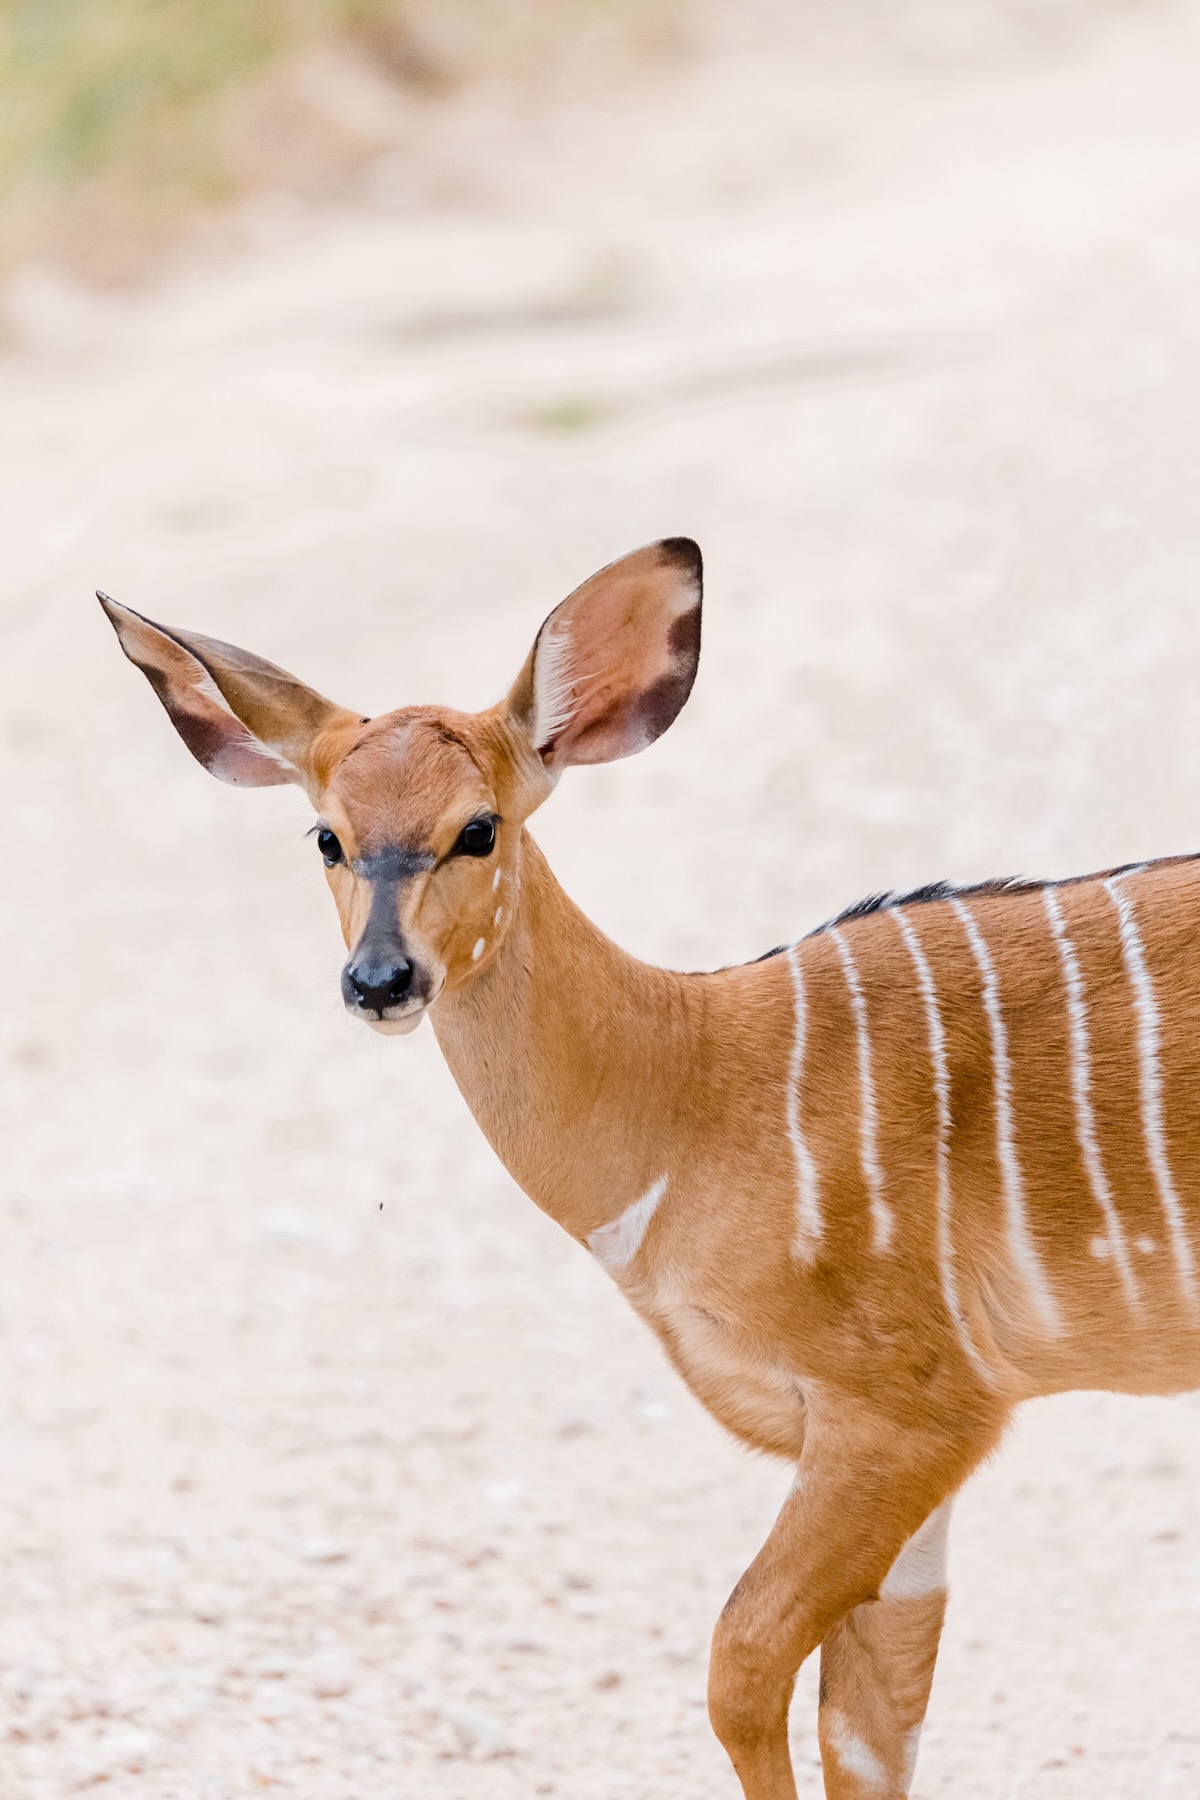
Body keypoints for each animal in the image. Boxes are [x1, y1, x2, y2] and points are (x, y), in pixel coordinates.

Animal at [100, 536, 1200, 1800]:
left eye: (479, 828)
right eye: (326, 836)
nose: (380, 981)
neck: (696, 1087)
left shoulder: (912, 1410)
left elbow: (744, 1662)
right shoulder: (899, 1445)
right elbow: (869, 1728)